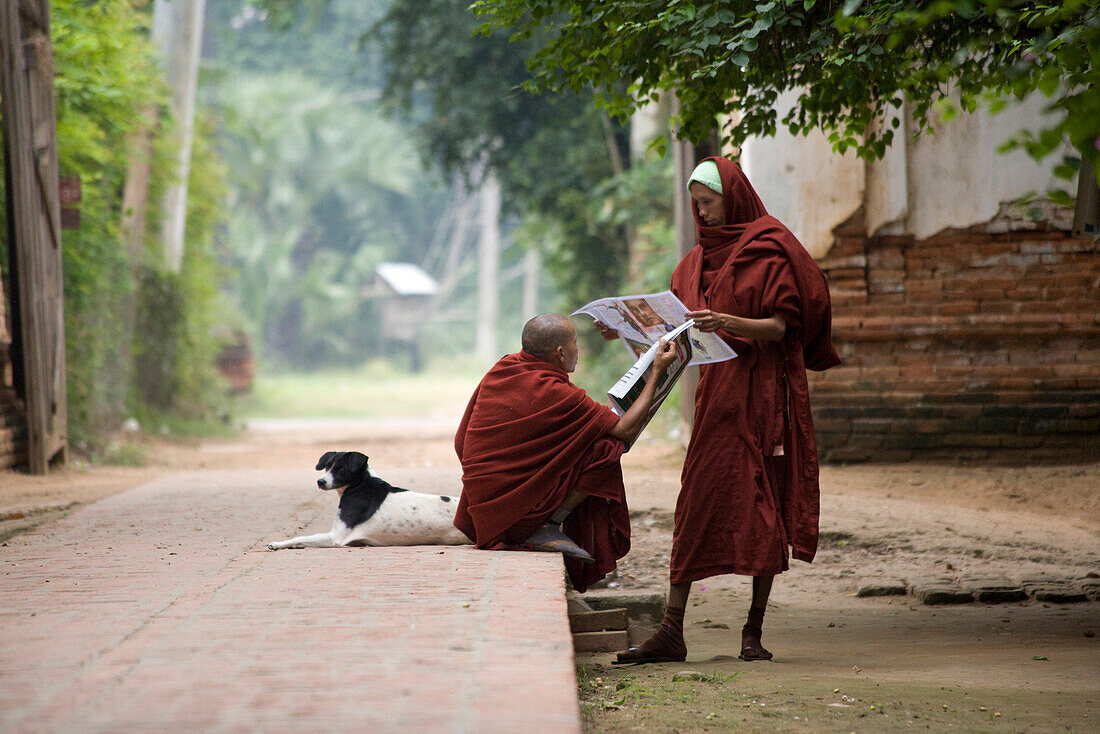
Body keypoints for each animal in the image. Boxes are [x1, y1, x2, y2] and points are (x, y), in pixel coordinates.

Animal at [270, 451, 473, 548]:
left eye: (341, 469)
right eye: (326, 466)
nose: (320, 482)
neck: (360, 485)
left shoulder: (336, 537)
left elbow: (302, 537)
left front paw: (277, 544)